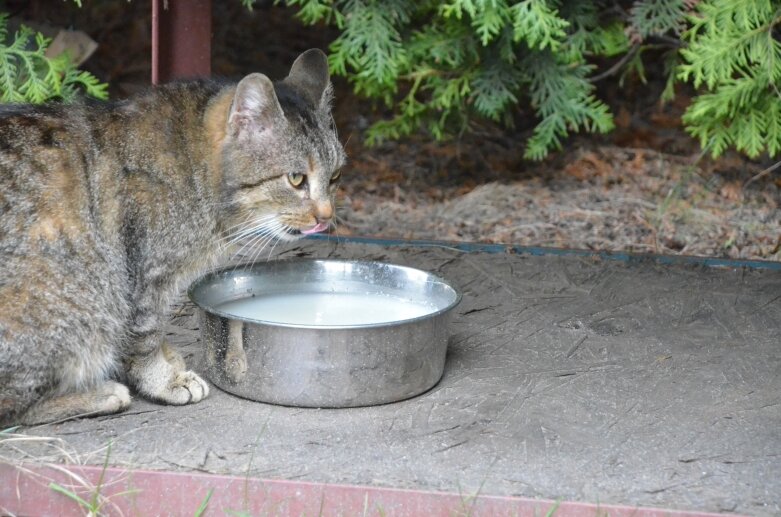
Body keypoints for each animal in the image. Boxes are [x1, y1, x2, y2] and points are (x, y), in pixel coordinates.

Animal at [0, 49, 344, 424]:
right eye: (296, 179)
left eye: (335, 176)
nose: (326, 216)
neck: (195, 169)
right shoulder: (144, 279)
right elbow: (144, 336)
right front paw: (161, 379)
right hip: (75, 299)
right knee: (16, 409)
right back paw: (99, 394)